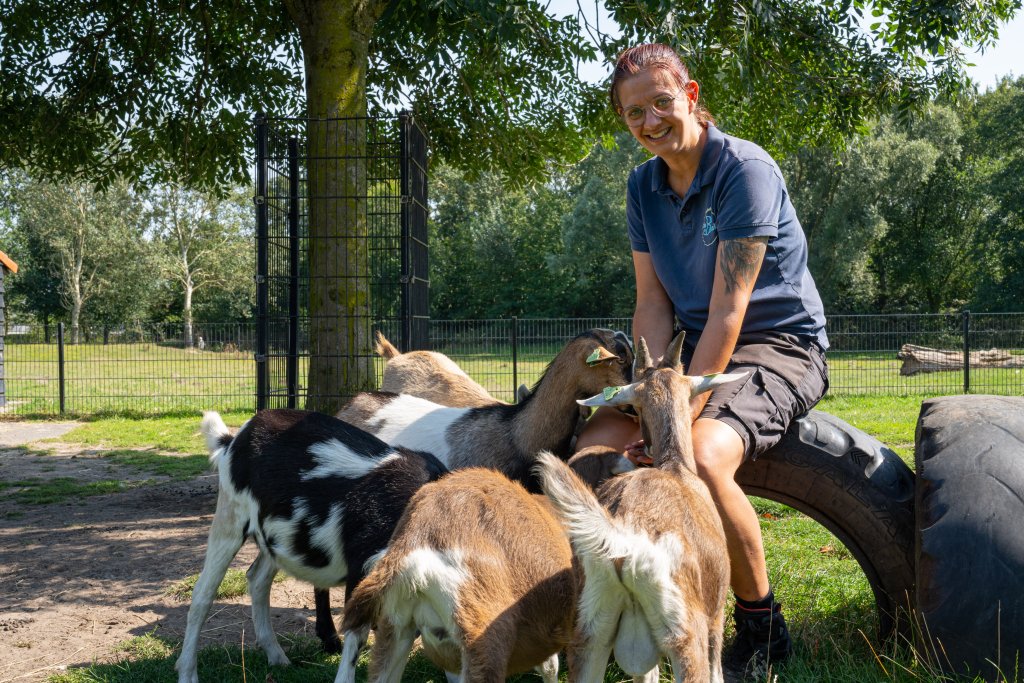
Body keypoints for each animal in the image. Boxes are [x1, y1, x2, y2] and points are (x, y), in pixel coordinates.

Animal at [175, 409, 448, 683]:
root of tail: (234, 438)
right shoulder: (362, 570)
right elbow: (356, 641)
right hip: (230, 516)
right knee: (203, 594)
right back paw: (187, 672)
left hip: (275, 538)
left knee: (257, 578)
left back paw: (277, 657)